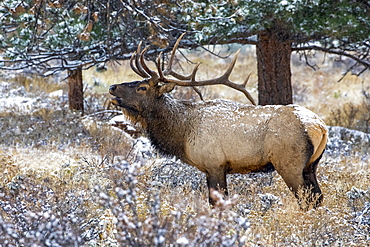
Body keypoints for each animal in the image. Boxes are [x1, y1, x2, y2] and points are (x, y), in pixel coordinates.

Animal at [109, 33, 326, 209]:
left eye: (142, 88)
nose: (112, 87)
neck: (182, 133)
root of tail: (320, 128)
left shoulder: (215, 164)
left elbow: (217, 203)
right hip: (311, 165)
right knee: (318, 197)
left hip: (289, 163)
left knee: (306, 199)